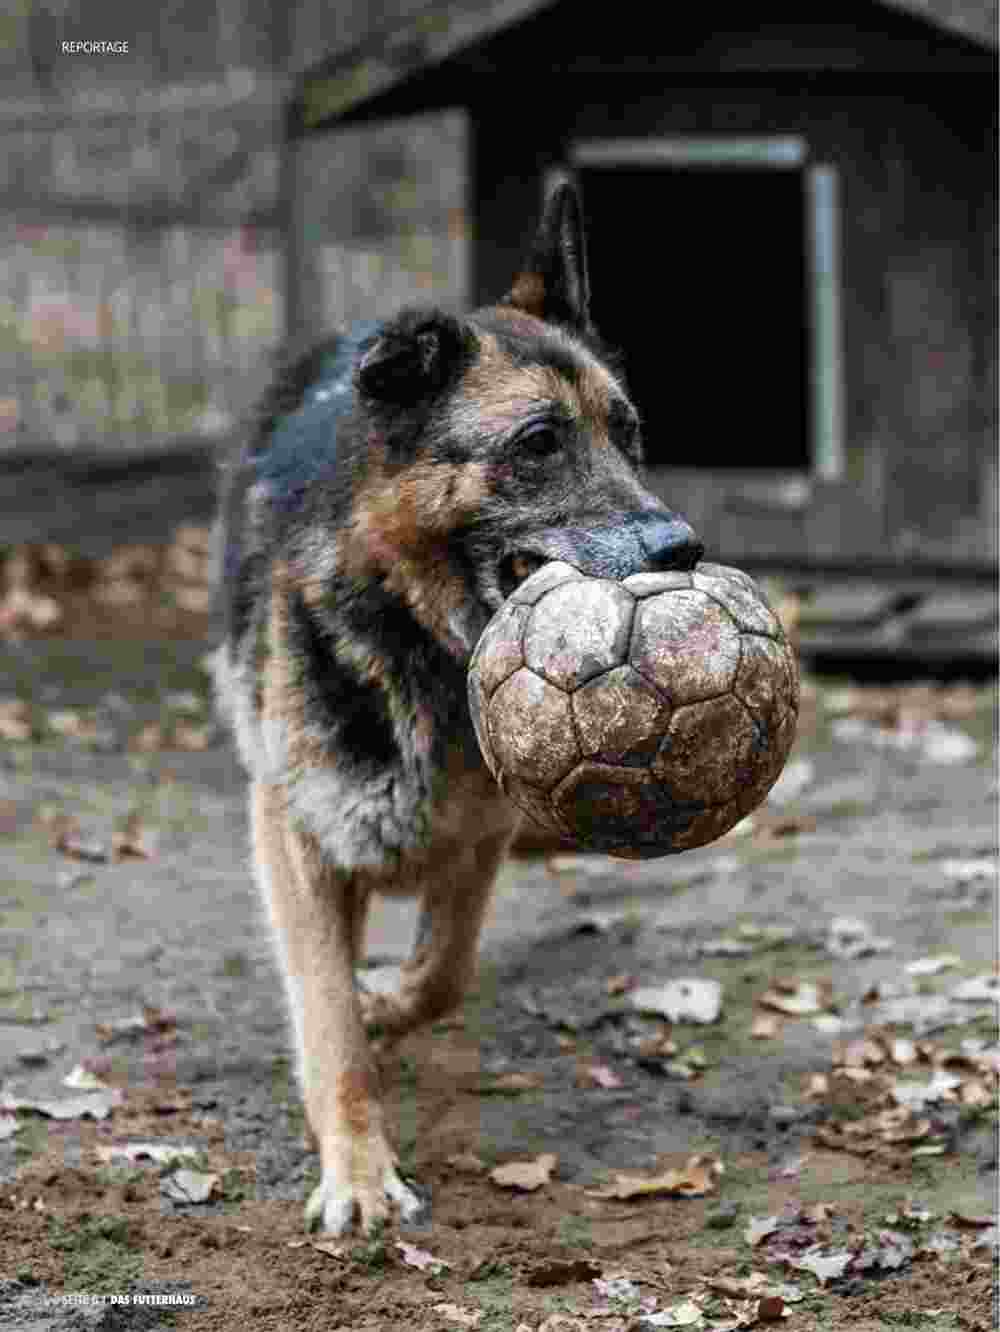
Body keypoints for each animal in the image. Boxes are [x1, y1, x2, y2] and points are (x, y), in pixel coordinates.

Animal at [214, 185, 703, 1236]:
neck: (423, 640)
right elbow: (328, 1015)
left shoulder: (484, 827)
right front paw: (357, 1170)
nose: (679, 547)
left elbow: (444, 969)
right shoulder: (295, 832)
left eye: (628, 433)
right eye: (538, 444)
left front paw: (392, 1001)